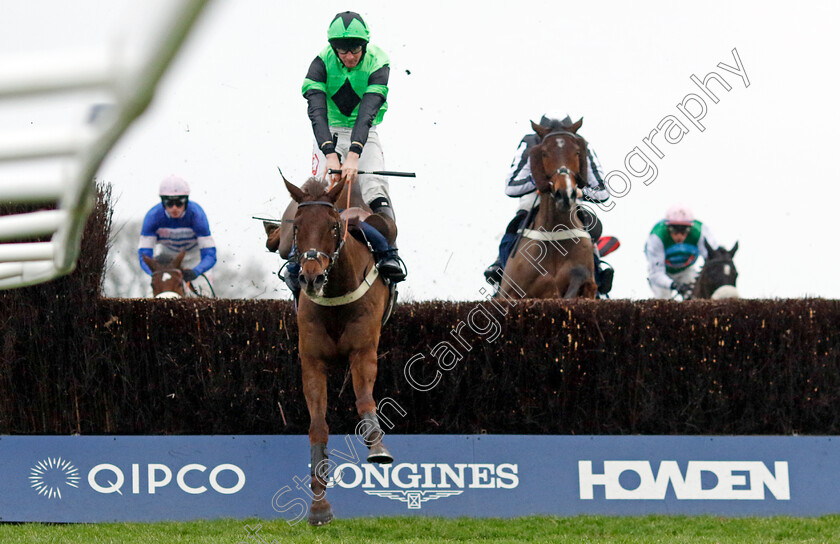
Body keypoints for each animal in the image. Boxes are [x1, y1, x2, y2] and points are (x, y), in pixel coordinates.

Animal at [282, 176, 390, 524]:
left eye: (332, 226)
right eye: (297, 226)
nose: (312, 277)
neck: (335, 296)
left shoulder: (363, 351)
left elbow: (364, 399)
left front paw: (378, 447)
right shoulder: (312, 361)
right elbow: (317, 427)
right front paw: (319, 506)